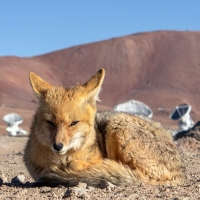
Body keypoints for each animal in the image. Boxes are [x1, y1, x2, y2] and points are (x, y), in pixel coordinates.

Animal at [23, 69, 186, 188]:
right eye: (50, 122)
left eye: (73, 123)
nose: (58, 146)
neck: (60, 160)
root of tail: (181, 170)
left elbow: (83, 165)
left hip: (116, 124)